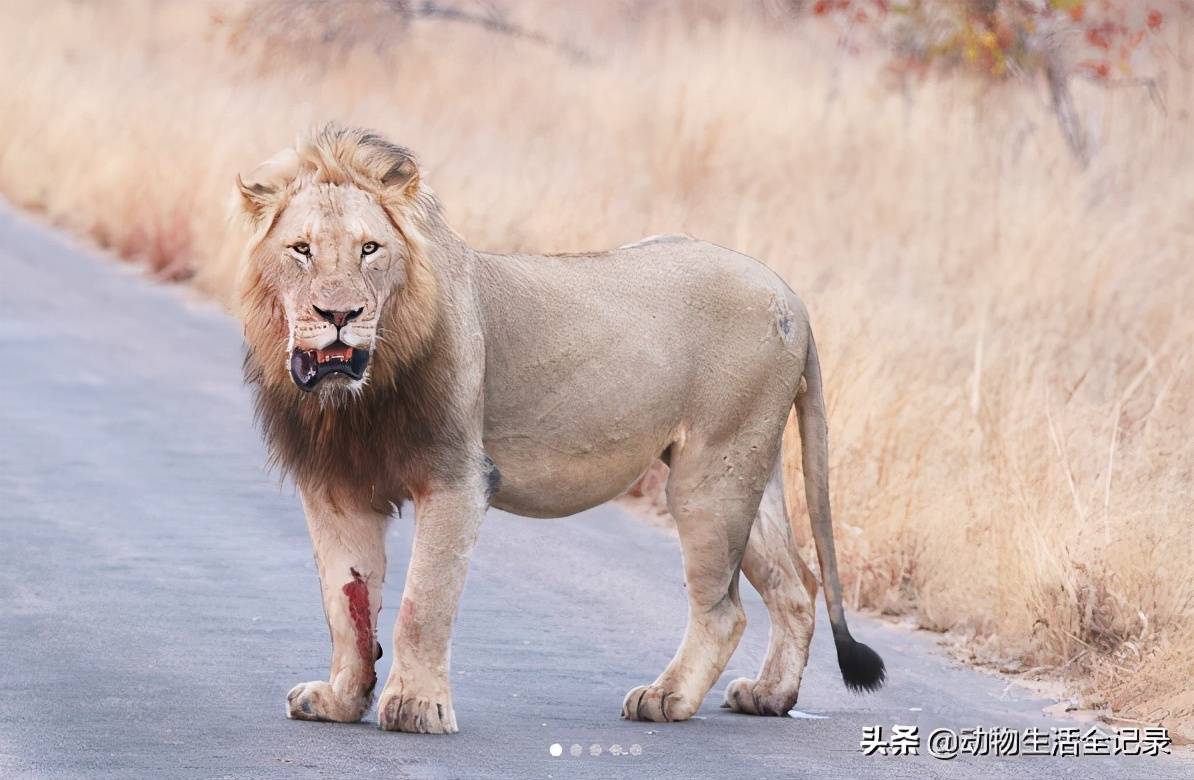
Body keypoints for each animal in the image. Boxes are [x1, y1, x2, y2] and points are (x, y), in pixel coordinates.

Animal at [235, 123, 888, 731]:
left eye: (370, 249)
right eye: (301, 250)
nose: (339, 314)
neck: (354, 399)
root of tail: (791, 295)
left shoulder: (457, 478)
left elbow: (425, 601)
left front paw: (417, 707)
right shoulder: (335, 488)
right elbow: (346, 602)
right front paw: (340, 700)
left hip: (710, 476)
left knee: (726, 608)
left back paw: (666, 697)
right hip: (749, 464)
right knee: (797, 586)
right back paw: (770, 695)